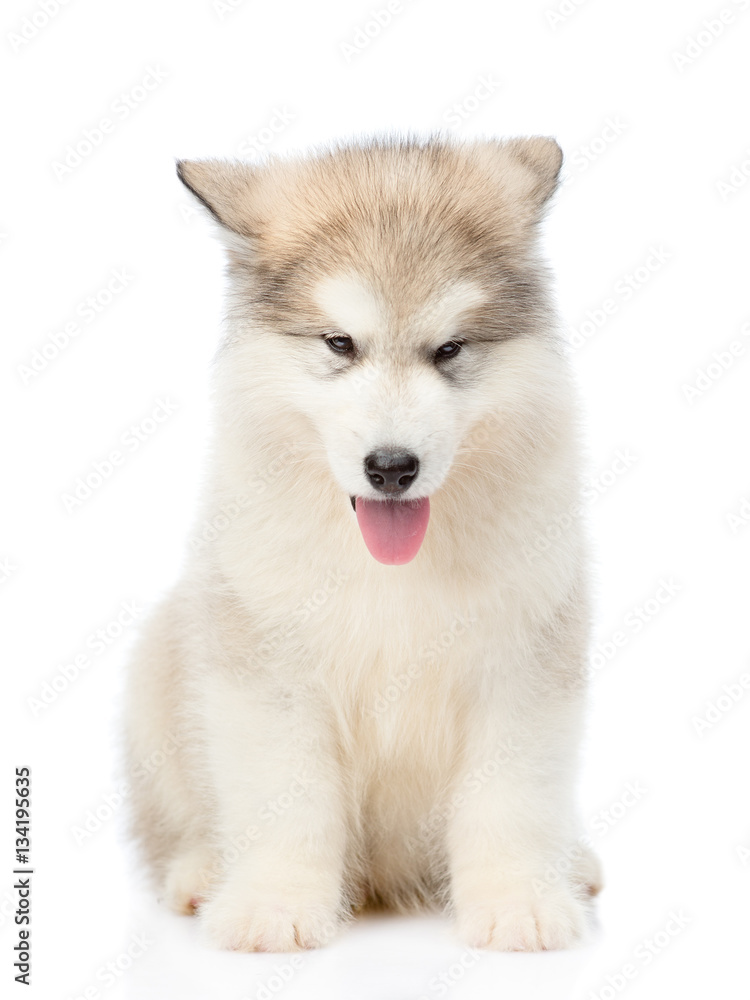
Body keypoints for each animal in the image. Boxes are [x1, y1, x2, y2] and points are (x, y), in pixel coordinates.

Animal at [125, 135, 604, 952]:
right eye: (340, 344)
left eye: (450, 350)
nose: (391, 467)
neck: (391, 568)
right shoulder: (270, 671)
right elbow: (285, 799)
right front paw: (273, 905)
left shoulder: (522, 665)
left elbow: (510, 798)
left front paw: (519, 902)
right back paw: (200, 871)